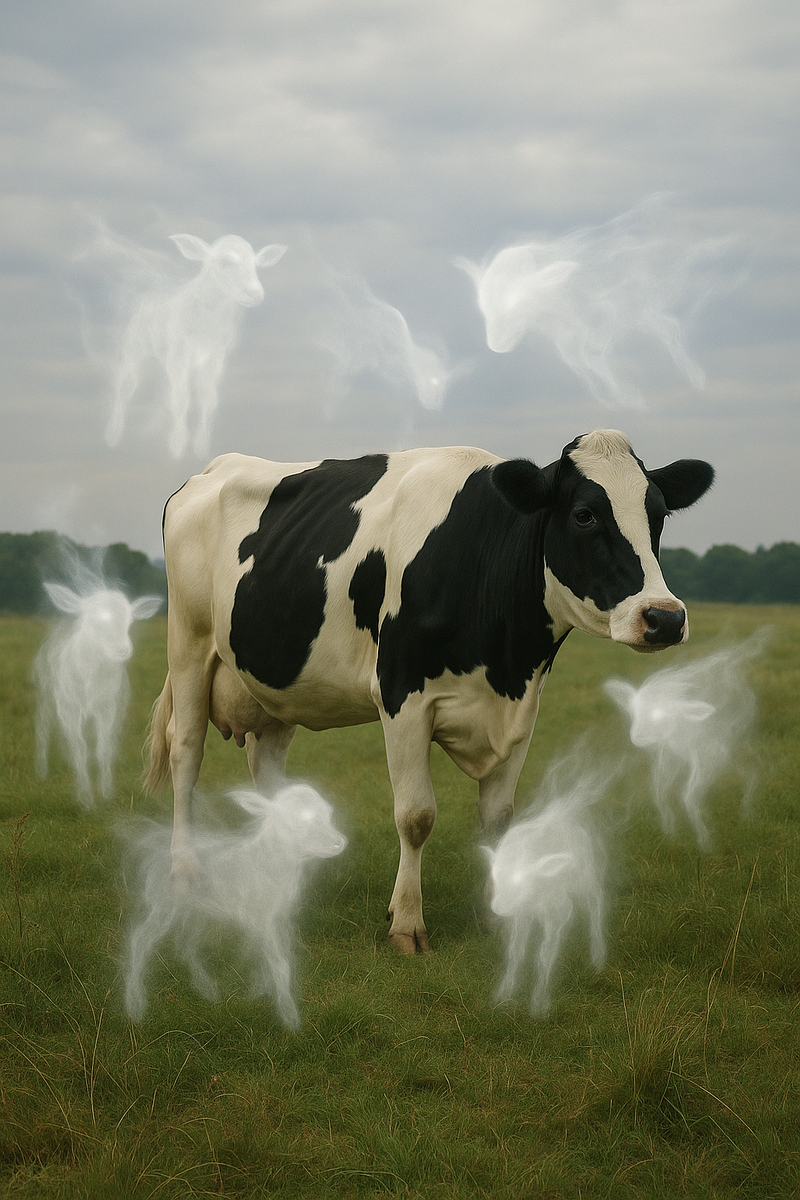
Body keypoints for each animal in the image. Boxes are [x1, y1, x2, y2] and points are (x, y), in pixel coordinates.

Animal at [144, 428, 713, 952]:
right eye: (584, 515)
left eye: (658, 514)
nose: (664, 617)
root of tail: (210, 470)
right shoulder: (402, 697)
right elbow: (416, 816)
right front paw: (407, 924)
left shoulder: (523, 706)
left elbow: (498, 818)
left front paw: (497, 916)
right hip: (189, 644)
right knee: (187, 753)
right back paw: (185, 872)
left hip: (276, 684)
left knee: (266, 770)